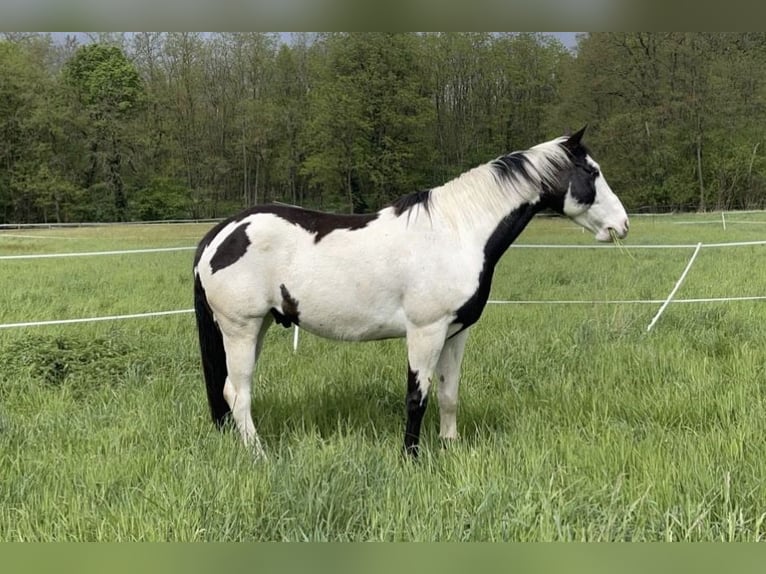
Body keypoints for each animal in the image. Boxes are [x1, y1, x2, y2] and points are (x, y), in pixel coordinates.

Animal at [193, 126, 629, 458]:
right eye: (592, 172)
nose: (622, 225)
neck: (456, 232)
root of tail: (221, 233)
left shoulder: (456, 333)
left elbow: (448, 394)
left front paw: (450, 449)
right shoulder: (426, 331)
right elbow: (416, 397)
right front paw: (411, 457)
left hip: (260, 327)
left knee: (230, 391)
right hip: (241, 329)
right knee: (239, 392)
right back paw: (259, 455)